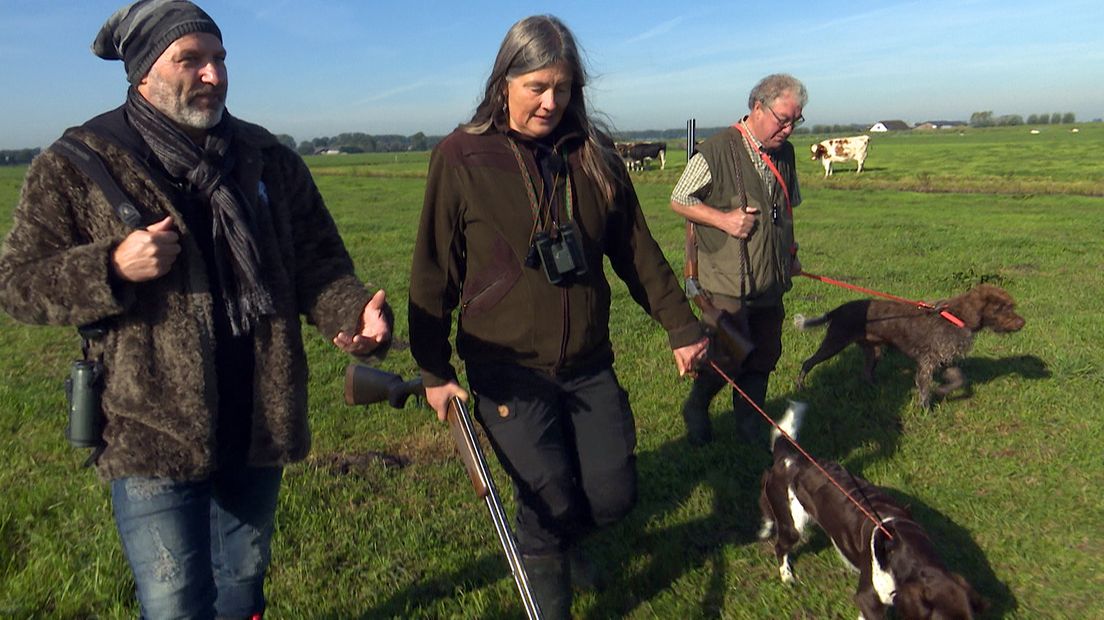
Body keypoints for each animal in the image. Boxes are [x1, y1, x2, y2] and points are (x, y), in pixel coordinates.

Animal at [794, 284, 1024, 408]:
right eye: (1001, 307)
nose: (1022, 322)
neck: (957, 317)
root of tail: (838, 309)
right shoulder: (927, 362)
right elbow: (924, 388)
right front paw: (926, 408)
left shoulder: (946, 360)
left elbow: (959, 380)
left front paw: (941, 391)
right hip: (834, 343)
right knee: (807, 362)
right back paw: (800, 386)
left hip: (874, 351)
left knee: (866, 373)